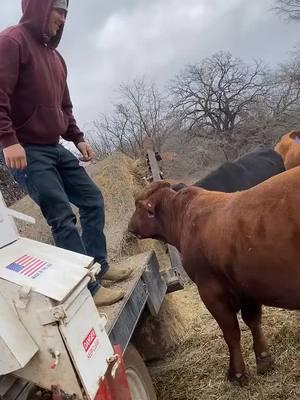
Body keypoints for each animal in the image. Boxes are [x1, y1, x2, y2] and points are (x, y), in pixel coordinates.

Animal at [128, 170, 300, 386]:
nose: (129, 226)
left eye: (137, 205)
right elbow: (253, 321)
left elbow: (231, 332)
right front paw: (264, 360)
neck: (183, 216)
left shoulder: (211, 290)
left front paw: (237, 373)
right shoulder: (245, 285)